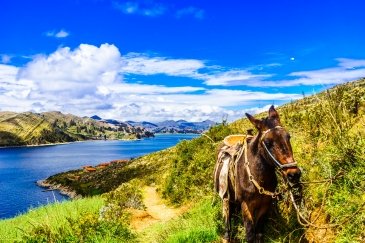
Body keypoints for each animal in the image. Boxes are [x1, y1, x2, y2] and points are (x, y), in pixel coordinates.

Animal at [213, 106, 298, 243]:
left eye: (288, 136)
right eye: (267, 142)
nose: (294, 174)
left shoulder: (265, 205)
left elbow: (259, 233)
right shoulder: (246, 205)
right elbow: (250, 234)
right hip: (225, 196)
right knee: (227, 216)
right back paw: (227, 236)